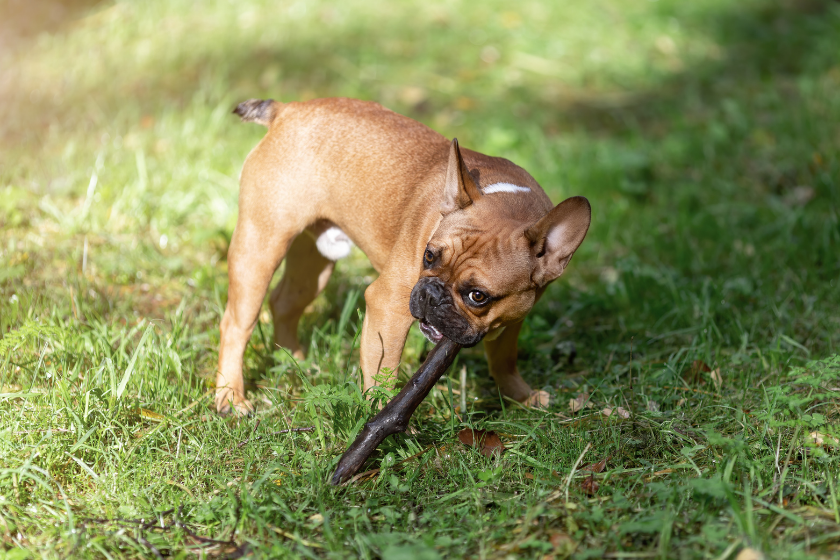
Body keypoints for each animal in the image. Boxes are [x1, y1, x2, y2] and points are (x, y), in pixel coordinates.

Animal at [217, 97, 592, 416]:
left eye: (478, 296)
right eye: (428, 256)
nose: (430, 293)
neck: (510, 205)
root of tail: (287, 110)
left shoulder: (512, 321)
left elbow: (504, 360)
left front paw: (522, 397)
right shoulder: (387, 308)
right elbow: (382, 373)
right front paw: (382, 418)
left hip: (314, 262)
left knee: (285, 302)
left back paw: (294, 361)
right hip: (260, 246)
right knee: (236, 323)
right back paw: (231, 398)